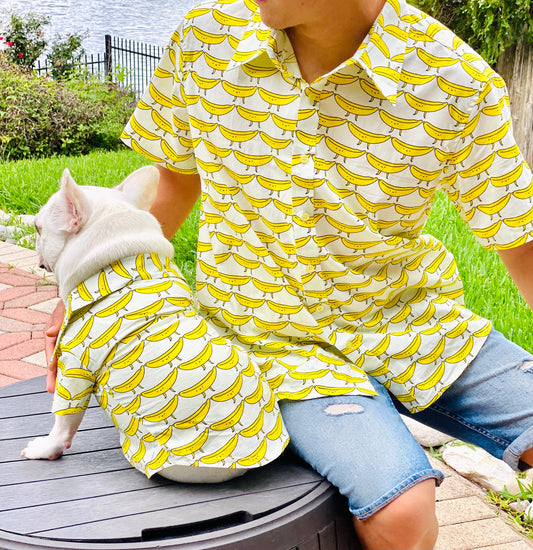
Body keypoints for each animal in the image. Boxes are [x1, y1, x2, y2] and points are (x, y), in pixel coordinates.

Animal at [20, 167, 286, 484]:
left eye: (38, 228)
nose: (36, 238)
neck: (114, 262)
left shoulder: (75, 369)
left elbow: (64, 419)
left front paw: (46, 448)